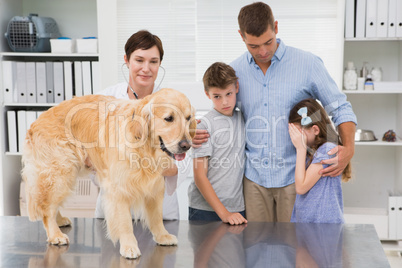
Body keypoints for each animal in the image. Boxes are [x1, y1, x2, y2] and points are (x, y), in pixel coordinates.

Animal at [21, 87, 196, 258]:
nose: (187, 145)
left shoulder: (155, 186)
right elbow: (125, 222)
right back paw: (55, 234)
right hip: (60, 171)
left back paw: (60, 220)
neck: (143, 148)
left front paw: (162, 236)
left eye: (188, 118)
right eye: (169, 118)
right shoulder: (118, 189)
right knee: (46, 207)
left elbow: (156, 217)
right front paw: (129, 246)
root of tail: (37, 120)